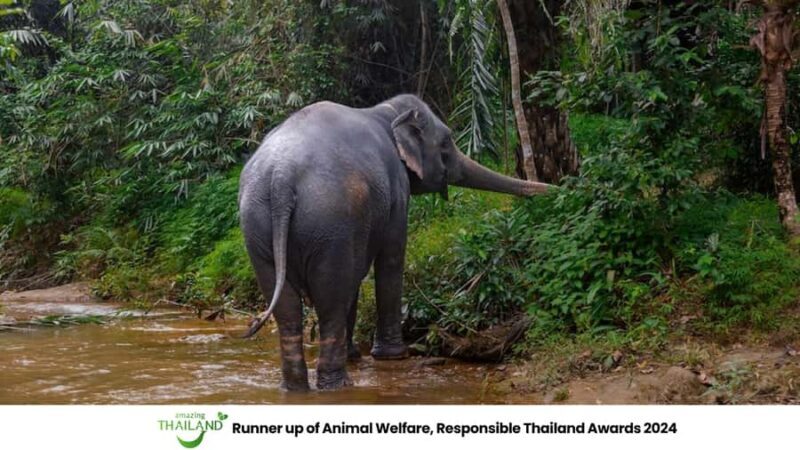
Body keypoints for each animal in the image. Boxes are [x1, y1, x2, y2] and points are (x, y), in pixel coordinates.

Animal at [238, 94, 550, 391]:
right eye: (446, 142)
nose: (556, 188)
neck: (384, 110)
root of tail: (282, 178)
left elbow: (356, 277)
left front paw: (357, 354)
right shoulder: (397, 189)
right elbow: (391, 255)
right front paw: (394, 355)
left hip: (258, 228)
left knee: (288, 308)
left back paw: (295, 387)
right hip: (328, 222)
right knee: (331, 298)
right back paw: (338, 385)